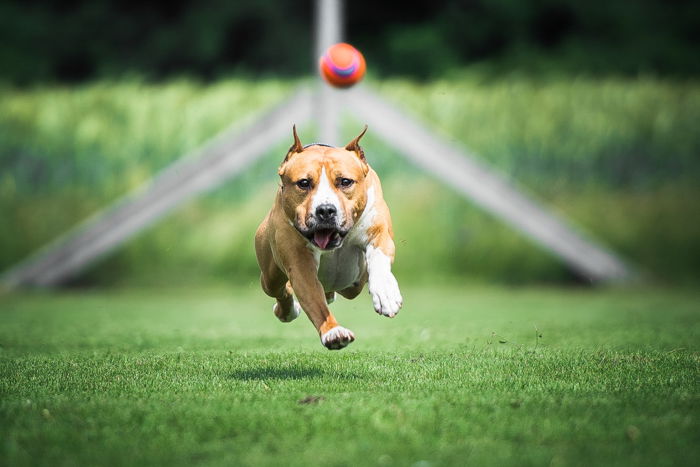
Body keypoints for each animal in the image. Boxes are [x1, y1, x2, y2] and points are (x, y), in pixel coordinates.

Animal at [254, 125, 402, 352]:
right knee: (281, 291)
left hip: (353, 283)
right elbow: (315, 301)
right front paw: (333, 331)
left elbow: (379, 260)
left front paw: (386, 293)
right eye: (304, 183)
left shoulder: (378, 232)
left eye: (345, 181)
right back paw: (287, 311)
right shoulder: (300, 264)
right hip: (269, 275)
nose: (325, 210)